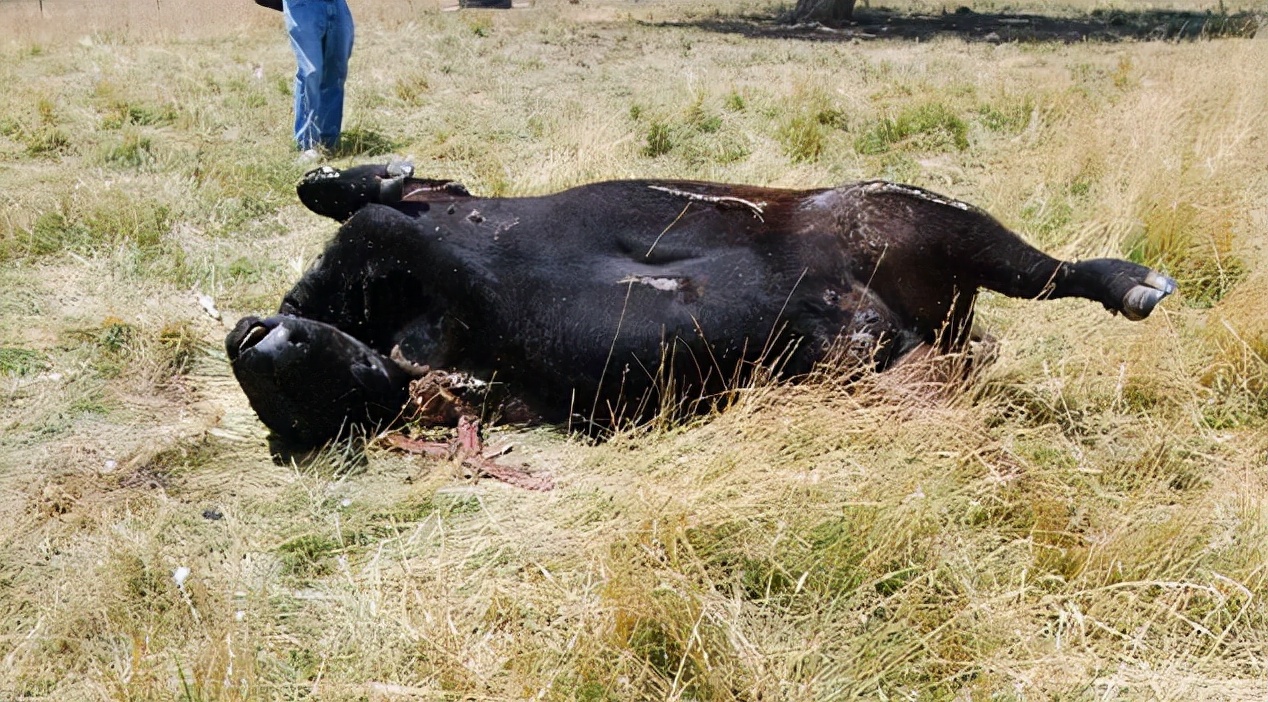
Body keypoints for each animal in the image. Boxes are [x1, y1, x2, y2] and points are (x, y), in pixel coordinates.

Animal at [225, 162, 1176, 448]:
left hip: (920, 213)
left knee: (1055, 270)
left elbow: (358, 200)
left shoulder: (432, 212)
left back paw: (1131, 280)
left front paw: (369, 173)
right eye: (304, 404)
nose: (250, 339)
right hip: (928, 290)